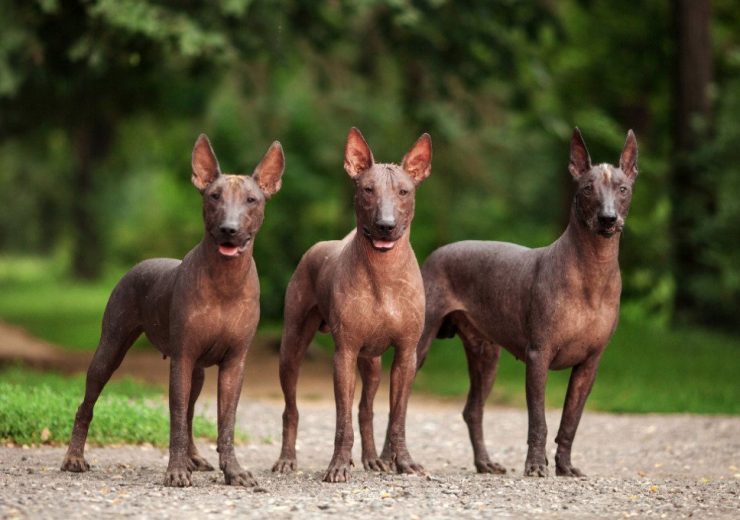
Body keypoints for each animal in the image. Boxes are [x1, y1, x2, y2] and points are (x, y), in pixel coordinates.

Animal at [59, 134, 284, 488]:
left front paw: (232, 471)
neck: (225, 280)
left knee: (191, 413)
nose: (229, 229)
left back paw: (194, 458)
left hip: (198, 372)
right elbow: (176, 417)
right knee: (87, 404)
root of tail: (141, 264)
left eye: (251, 200)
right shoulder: (182, 358)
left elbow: (226, 423)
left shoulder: (234, 364)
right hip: (111, 349)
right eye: (214, 196)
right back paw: (74, 458)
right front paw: (176, 470)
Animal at [274, 128, 434, 482]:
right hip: (291, 349)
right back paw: (287, 459)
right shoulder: (343, 354)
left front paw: (404, 461)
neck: (383, 273)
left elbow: (397, 417)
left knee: (366, 409)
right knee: (291, 409)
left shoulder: (406, 354)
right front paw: (338, 464)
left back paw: (373, 459)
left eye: (404, 192)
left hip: (372, 364)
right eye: (367, 189)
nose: (386, 224)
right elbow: (341, 421)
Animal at [416, 128, 636, 478]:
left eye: (623, 189)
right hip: (419, 347)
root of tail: (435, 255)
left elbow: (570, 422)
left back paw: (484, 463)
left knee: (472, 411)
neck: (592, 270)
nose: (608, 218)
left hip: (486, 357)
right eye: (588, 188)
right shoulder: (538, 356)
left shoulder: (590, 364)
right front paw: (535, 465)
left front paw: (565, 466)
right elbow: (539, 421)